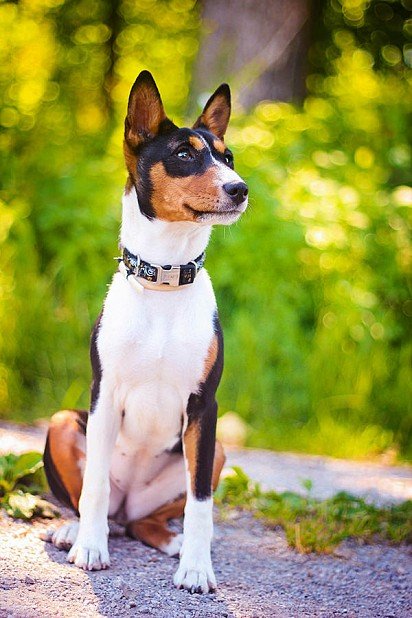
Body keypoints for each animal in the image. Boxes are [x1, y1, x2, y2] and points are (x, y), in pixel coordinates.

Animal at [43, 68, 248, 592]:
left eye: (228, 157)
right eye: (184, 155)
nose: (240, 188)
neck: (165, 282)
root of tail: (128, 506)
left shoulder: (204, 407)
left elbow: (201, 505)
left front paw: (195, 567)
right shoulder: (104, 394)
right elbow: (93, 486)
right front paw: (89, 549)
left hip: (217, 453)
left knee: (146, 520)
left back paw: (169, 541)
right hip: (63, 421)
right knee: (93, 503)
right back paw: (77, 530)